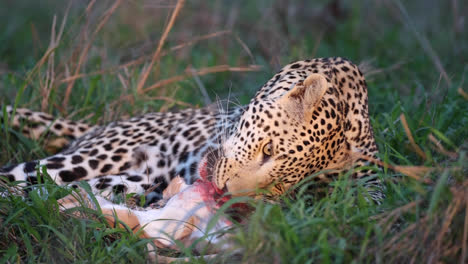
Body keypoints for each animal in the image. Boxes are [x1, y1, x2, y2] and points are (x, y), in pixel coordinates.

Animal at [0, 57, 384, 204]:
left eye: (285, 186)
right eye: (268, 150)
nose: (224, 192)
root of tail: (98, 126)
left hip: (127, 180)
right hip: (88, 159)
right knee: (16, 176)